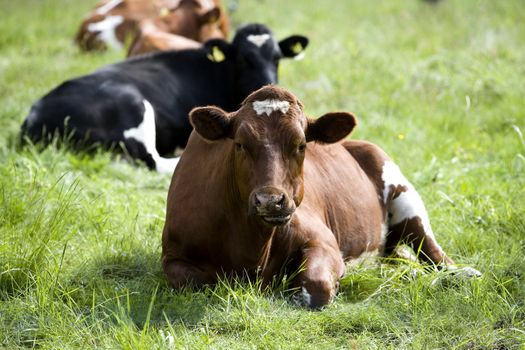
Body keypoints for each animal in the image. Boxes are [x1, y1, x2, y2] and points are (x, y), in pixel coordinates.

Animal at [21, 22, 308, 173]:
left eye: (277, 58)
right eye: (242, 59)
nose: (265, 86)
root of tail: (33, 116)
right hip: (133, 103)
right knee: (153, 160)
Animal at [162, 85, 482, 308]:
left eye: (301, 144)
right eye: (240, 144)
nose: (270, 200)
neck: (249, 244)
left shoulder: (324, 241)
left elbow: (316, 286)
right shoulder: (173, 256)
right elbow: (198, 279)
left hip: (405, 196)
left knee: (434, 254)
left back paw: (462, 273)